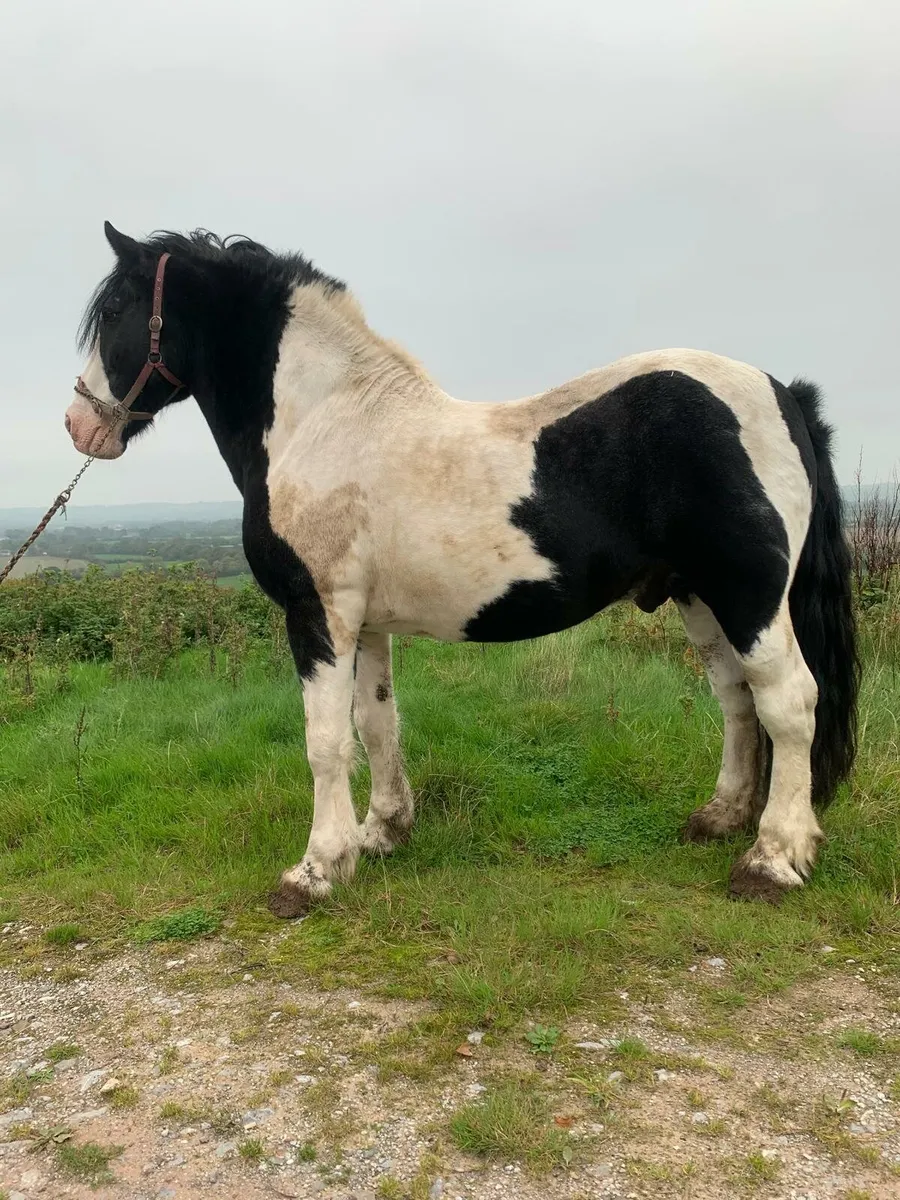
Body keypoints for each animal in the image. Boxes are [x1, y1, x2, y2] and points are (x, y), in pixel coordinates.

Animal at [66, 222, 859, 917]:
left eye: (116, 310)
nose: (81, 427)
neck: (323, 421)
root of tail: (785, 395)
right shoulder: (365, 622)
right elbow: (375, 723)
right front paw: (380, 834)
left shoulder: (317, 612)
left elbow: (324, 742)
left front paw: (316, 871)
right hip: (700, 597)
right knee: (737, 701)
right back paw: (720, 818)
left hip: (751, 596)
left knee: (789, 703)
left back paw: (772, 860)